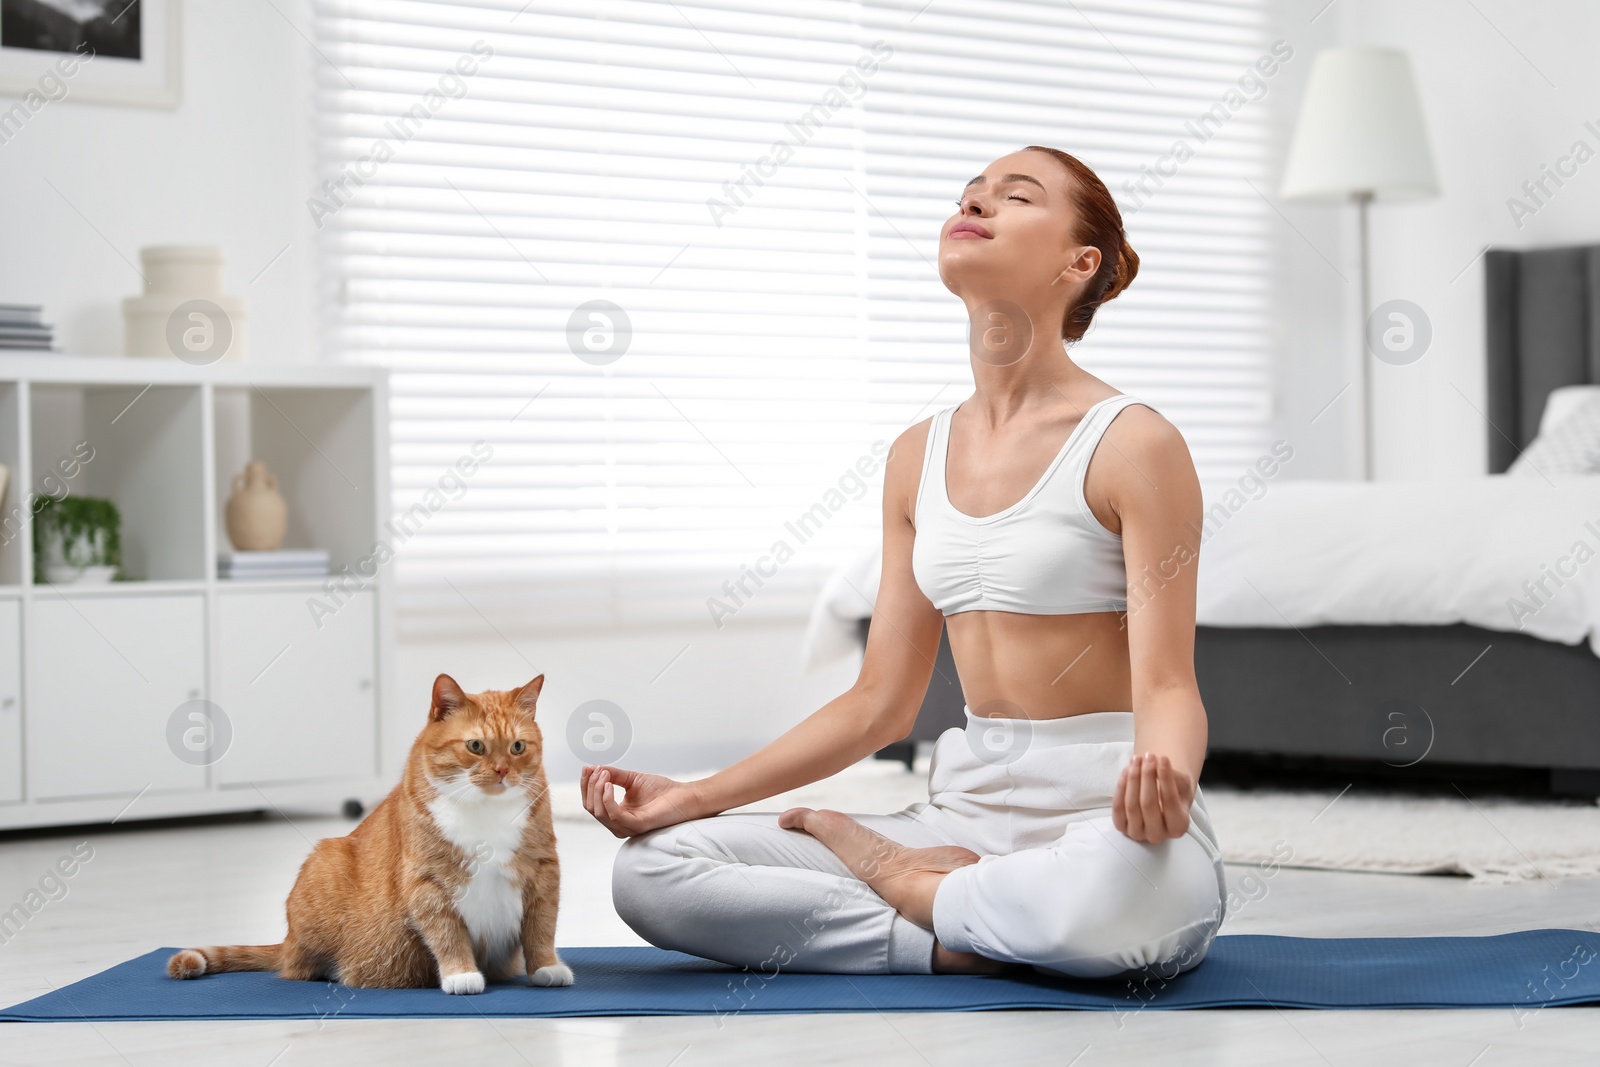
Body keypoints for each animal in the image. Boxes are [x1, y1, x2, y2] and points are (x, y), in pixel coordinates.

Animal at [167, 675, 569, 991]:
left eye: (517, 747)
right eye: (475, 746)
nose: (502, 771)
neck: (485, 812)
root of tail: (287, 940)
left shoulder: (543, 871)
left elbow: (541, 928)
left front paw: (546, 968)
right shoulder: (427, 882)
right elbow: (448, 933)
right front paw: (461, 974)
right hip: (323, 867)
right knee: (297, 967)